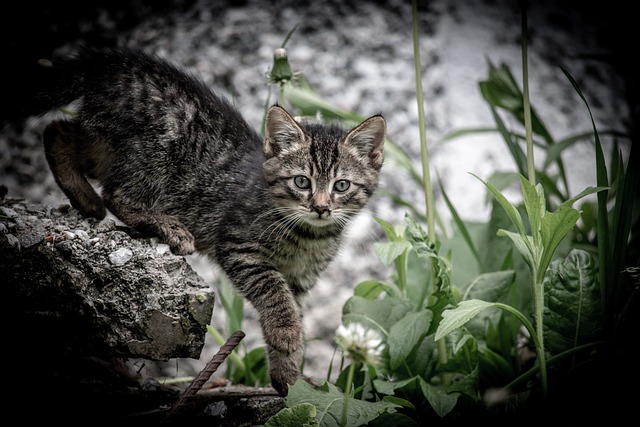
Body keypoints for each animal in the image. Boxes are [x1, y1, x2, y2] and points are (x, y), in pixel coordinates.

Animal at [13, 46, 384, 398]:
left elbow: (292, 310)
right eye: (302, 182)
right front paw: (287, 336)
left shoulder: (300, 280)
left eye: (341, 186)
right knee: (116, 193)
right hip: (156, 143)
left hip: (104, 141)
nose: (321, 207)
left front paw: (290, 380)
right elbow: (277, 300)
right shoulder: (239, 246)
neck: (309, 236)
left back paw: (85, 199)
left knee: (57, 131)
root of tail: (112, 64)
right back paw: (163, 225)